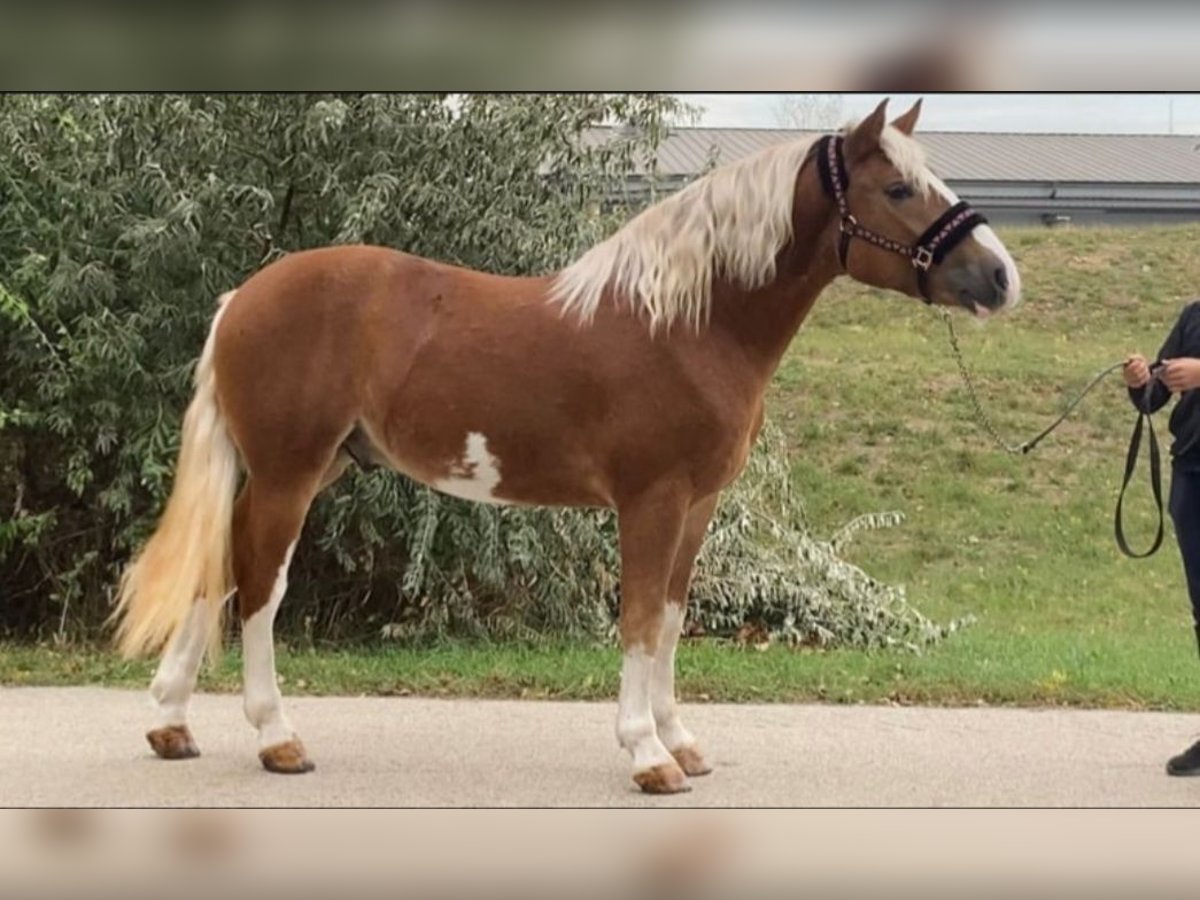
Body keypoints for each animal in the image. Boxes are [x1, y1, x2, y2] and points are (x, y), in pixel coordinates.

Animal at [110, 100, 1022, 796]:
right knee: (261, 585)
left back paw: (171, 725)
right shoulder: (651, 500)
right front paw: (649, 757)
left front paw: (680, 741)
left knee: (222, 565)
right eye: (898, 187)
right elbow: (640, 617)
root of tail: (242, 296)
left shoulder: (697, 505)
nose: (999, 277)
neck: (689, 324)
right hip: (290, 471)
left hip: (298, 467)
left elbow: (671, 619)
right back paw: (277, 738)